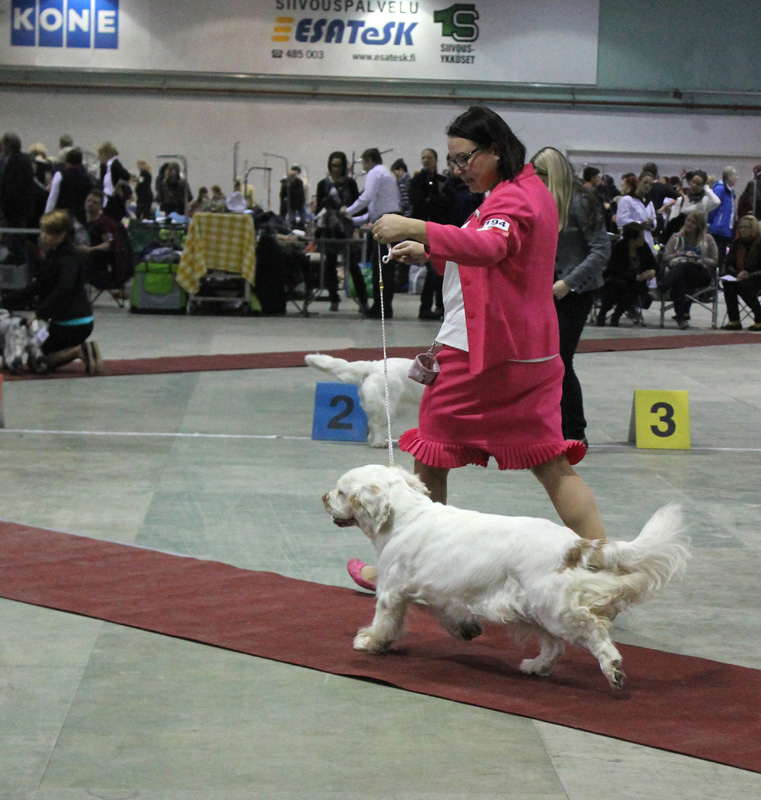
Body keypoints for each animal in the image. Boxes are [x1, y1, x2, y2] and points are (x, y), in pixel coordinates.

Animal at [323, 464, 690, 690]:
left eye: (340, 492)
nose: (323, 497)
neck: (404, 516)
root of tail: (572, 544)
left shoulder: (392, 590)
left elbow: (385, 621)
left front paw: (369, 642)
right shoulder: (442, 589)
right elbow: (449, 614)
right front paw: (467, 630)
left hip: (556, 610)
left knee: (593, 632)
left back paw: (612, 669)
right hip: (535, 610)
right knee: (555, 647)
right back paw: (535, 666)